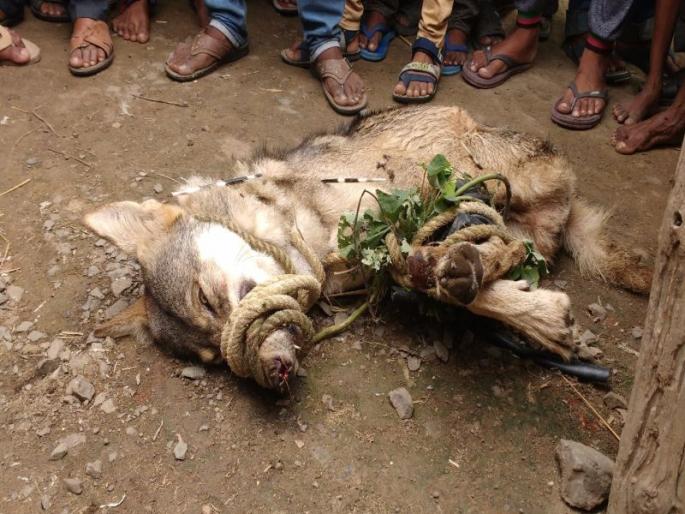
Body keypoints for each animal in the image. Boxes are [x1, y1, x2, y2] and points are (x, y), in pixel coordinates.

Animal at [84, 106, 651, 391]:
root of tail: (568, 201)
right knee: (506, 247)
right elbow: (429, 277)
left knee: (495, 234)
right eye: (216, 361)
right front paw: (532, 312)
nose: (273, 373)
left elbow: (428, 268)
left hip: (486, 173)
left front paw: (540, 317)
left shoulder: (403, 211)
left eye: (204, 298)